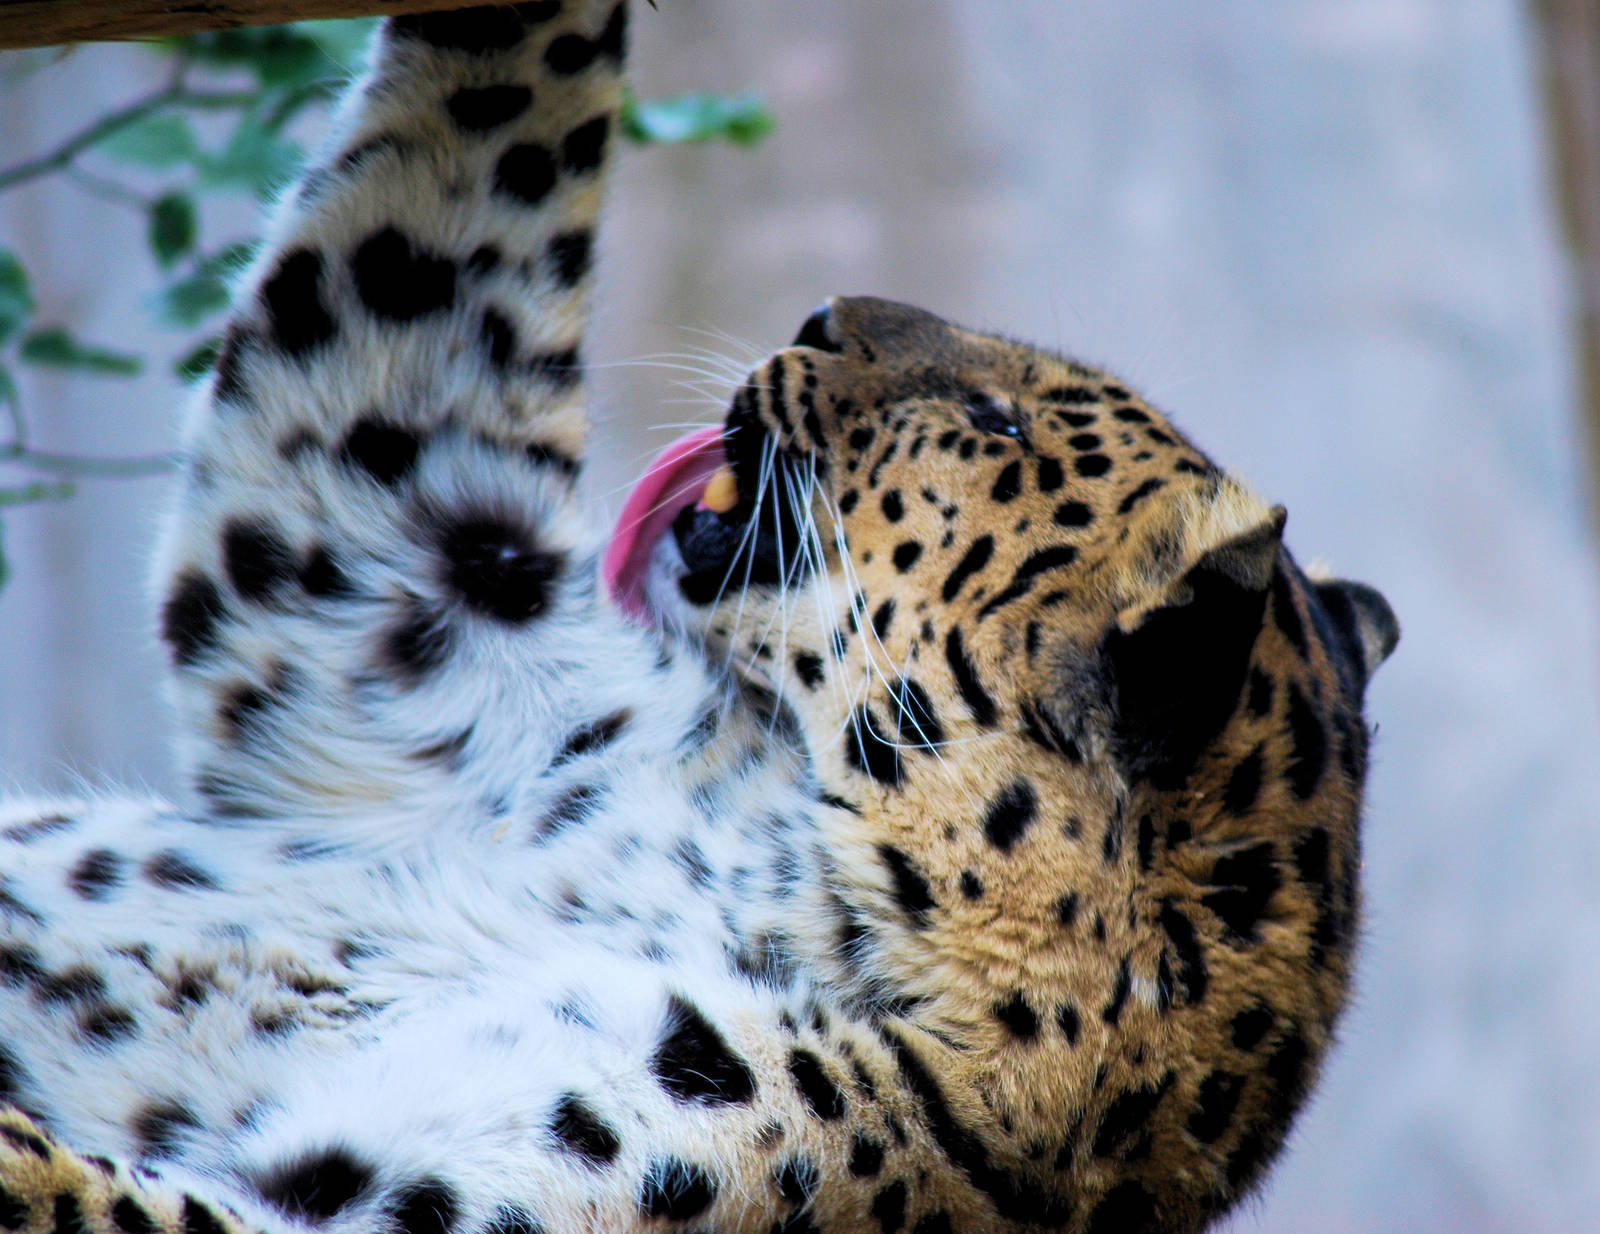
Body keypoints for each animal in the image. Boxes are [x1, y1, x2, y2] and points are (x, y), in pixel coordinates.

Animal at [0, 4, 1399, 1233]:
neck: (772, 839)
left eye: (996, 421)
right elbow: (465, 184)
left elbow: (106, 1201)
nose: (821, 311)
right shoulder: (392, 568)